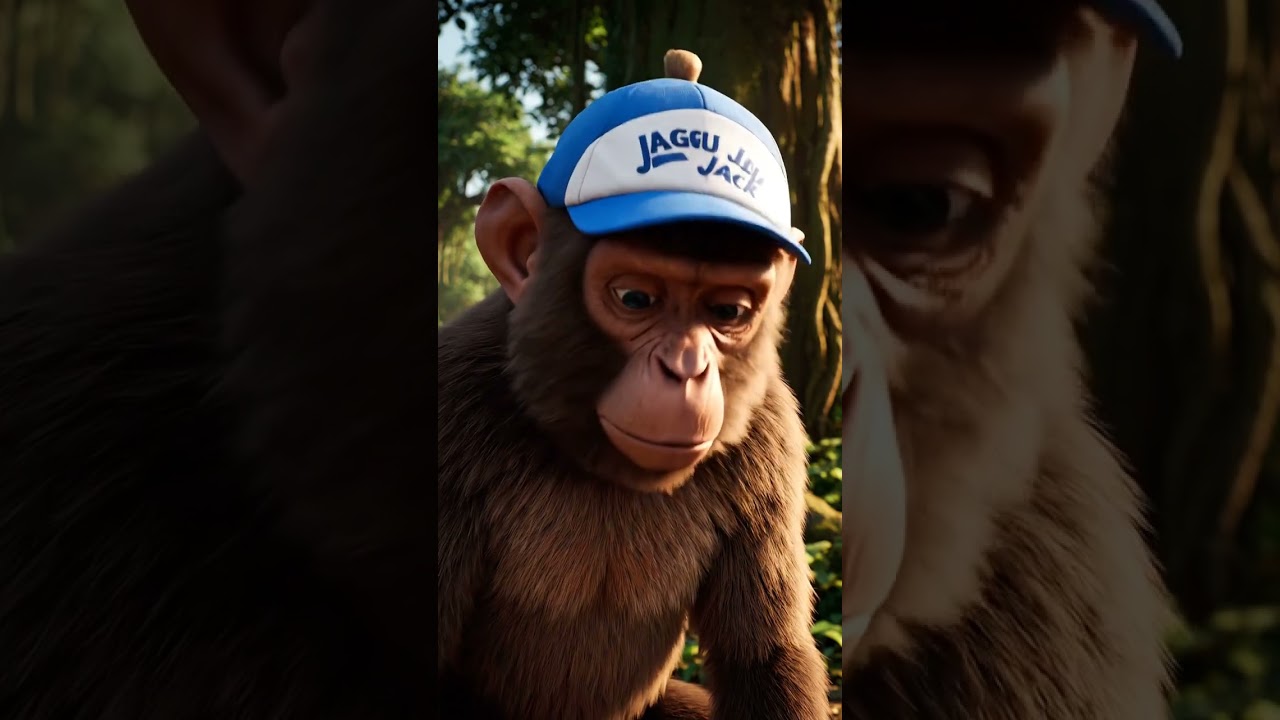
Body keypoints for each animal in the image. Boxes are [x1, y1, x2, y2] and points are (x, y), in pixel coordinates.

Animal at [436, 51, 834, 720]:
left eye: (727, 311)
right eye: (634, 298)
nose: (685, 368)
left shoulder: (771, 430)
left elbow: (765, 658)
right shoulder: (450, 407)